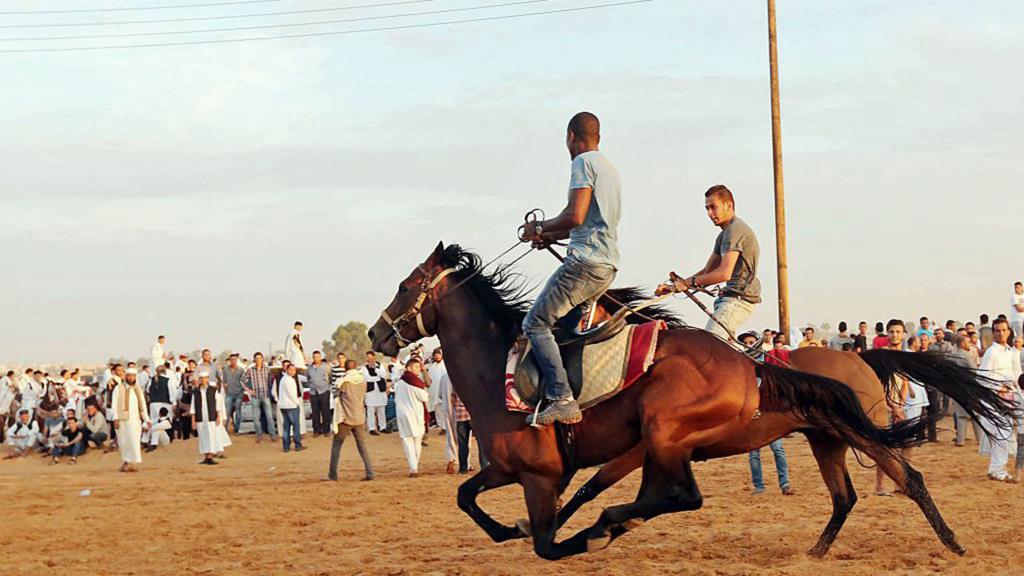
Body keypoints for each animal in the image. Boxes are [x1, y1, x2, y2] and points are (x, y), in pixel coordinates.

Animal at [366, 241, 1007, 557]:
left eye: (404, 286)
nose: (375, 334)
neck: (502, 368)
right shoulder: (516, 466)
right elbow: (469, 496)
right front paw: (517, 531)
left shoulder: (544, 473)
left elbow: (551, 533)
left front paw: (566, 533)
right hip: (817, 437)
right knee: (841, 496)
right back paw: (818, 550)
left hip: (820, 433)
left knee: (906, 479)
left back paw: (952, 543)